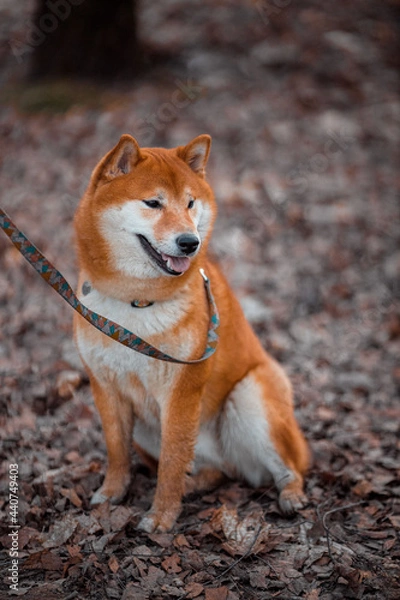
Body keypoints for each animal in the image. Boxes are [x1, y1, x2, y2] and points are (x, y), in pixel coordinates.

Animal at [72, 134, 310, 532]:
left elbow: (171, 461)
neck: (136, 300)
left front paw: (161, 517)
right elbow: (117, 450)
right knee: (219, 471)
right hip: (148, 431)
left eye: (190, 203)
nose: (190, 242)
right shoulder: (105, 385)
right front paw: (111, 493)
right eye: (153, 203)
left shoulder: (181, 391)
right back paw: (196, 484)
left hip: (249, 399)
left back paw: (291, 495)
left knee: (286, 468)